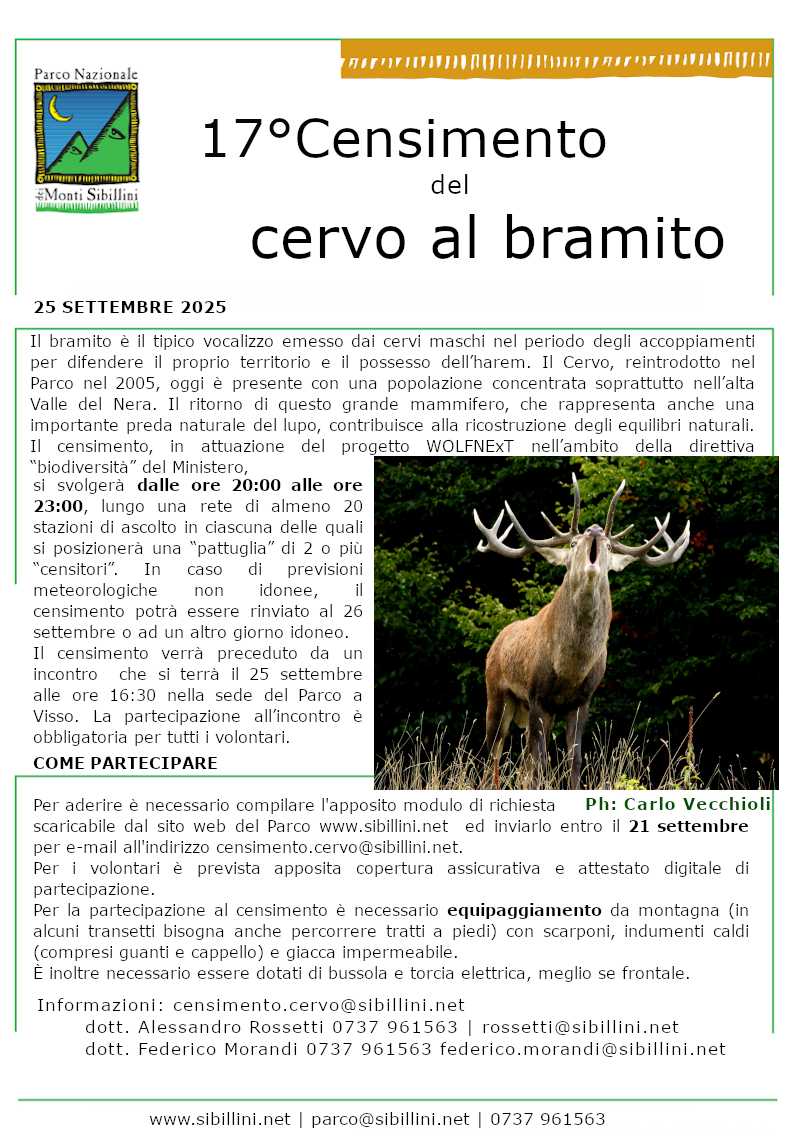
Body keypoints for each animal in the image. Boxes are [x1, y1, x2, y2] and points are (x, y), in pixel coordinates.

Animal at [473, 475, 690, 790]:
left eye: (610, 547)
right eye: (574, 542)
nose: (595, 530)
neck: (570, 670)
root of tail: (497, 642)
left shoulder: (582, 700)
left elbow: (572, 761)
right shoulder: (538, 695)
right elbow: (540, 764)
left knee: (522, 761)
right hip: (497, 692)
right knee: (494, 753)